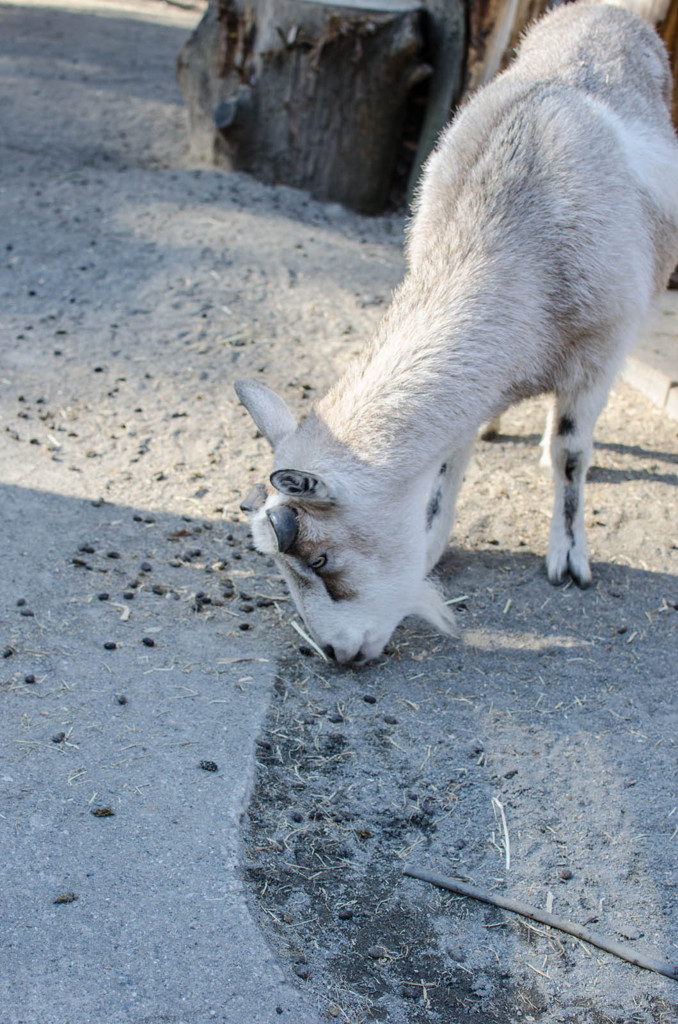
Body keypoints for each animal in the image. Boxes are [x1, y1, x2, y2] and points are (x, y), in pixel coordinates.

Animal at [236, 2, 678, 663]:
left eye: (319, 558)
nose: (337, 654)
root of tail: (614, 11)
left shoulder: (599, 352)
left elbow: (570, 454)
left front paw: (569, 555)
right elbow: (448, 459)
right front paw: (432, 539)